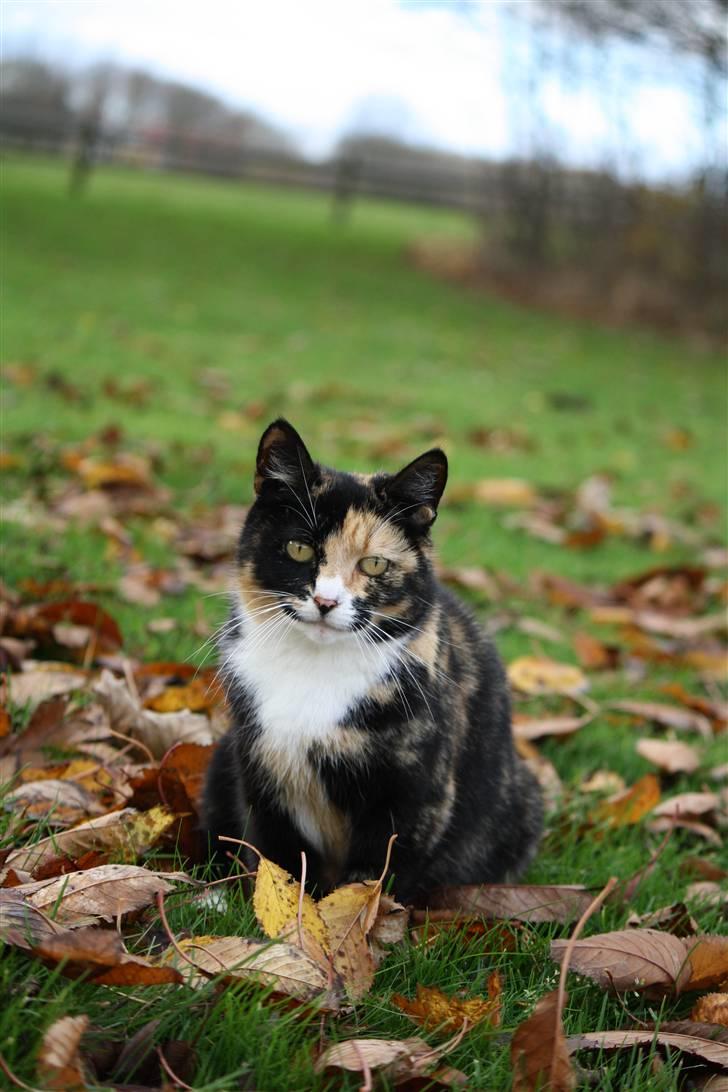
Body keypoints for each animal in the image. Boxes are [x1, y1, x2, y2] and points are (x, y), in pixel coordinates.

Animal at [201, 417, 543, 904]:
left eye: (375, 564)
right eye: (300, 548)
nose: (326, 601)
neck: (315, 669)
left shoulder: (412, 794)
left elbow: (373, 876)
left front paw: (348, 920)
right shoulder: (258, 773)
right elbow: (276, 860)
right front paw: (283, 911)